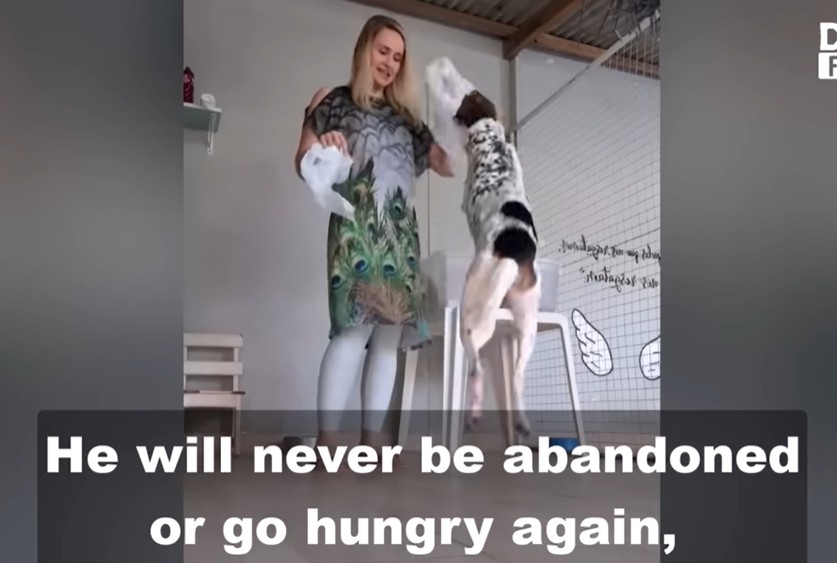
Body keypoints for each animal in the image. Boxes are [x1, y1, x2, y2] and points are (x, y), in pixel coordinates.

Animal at [452, 89, 541, 439]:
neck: (493, 143)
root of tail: (516, 259)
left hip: (471, 317)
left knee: (476, 365)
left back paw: (474, 413)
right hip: (527, 328)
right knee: (516, 378)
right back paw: (523, 422)